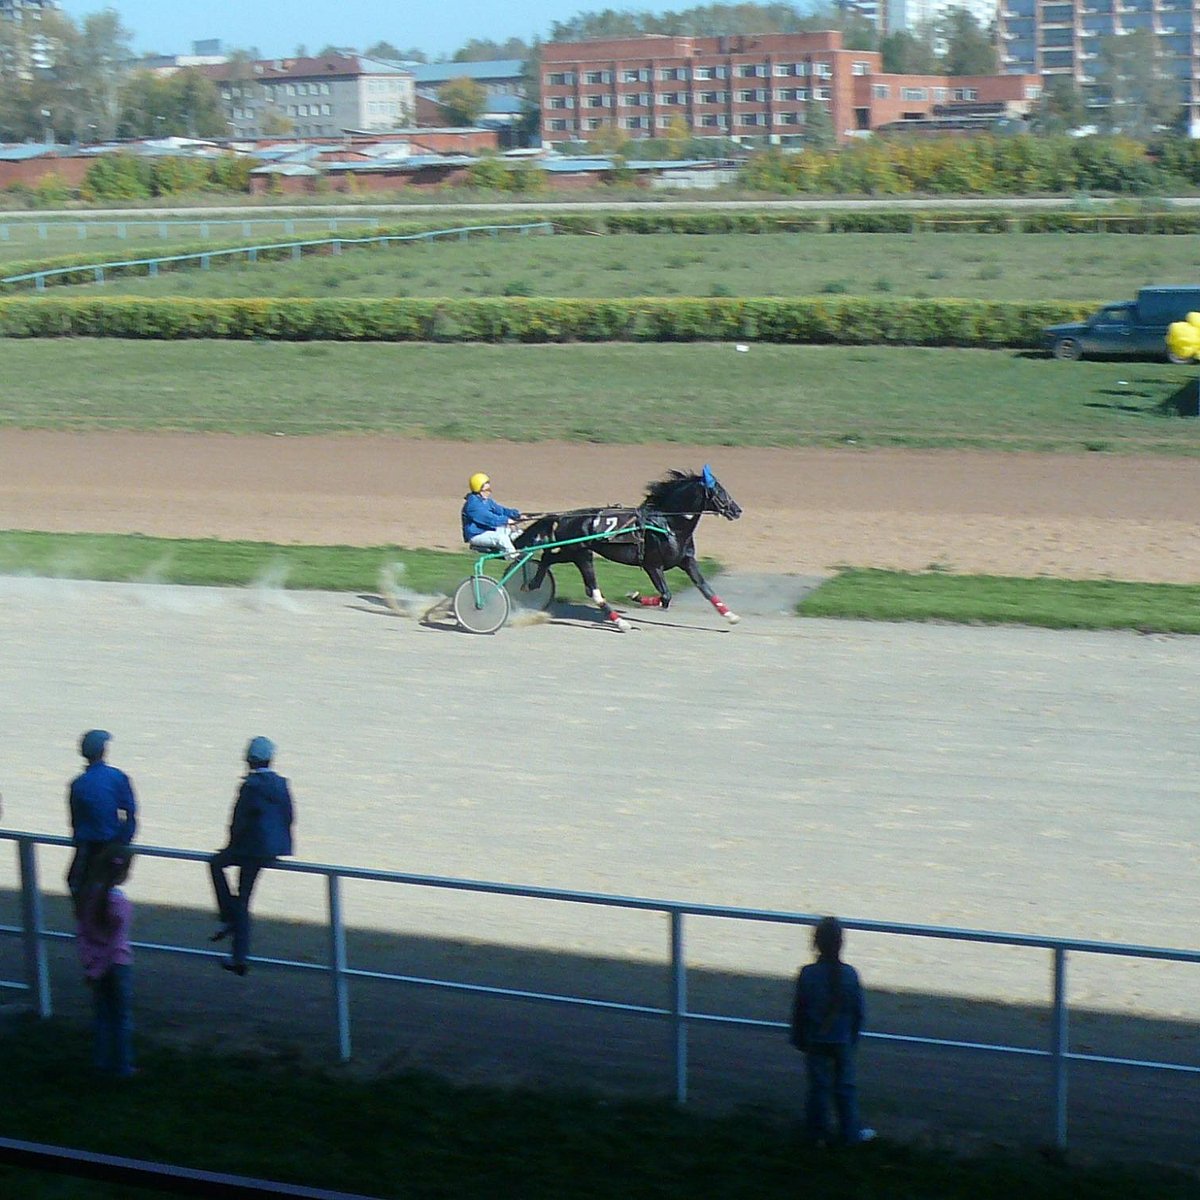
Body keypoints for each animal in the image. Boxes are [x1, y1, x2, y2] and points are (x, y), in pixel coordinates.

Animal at [513, 465, 739, 633]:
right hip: (579, 553)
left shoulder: (686, 561)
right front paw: (634, 595)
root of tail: (563, 517)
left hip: (575, 553)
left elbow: (705, 588)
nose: (737, 510)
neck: (668, 524)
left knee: (549, 559)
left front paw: (731, 616)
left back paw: (532, 584)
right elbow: (665, 597)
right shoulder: (652, 565)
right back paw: (620, 622)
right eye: (719, 491)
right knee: (583, 583)